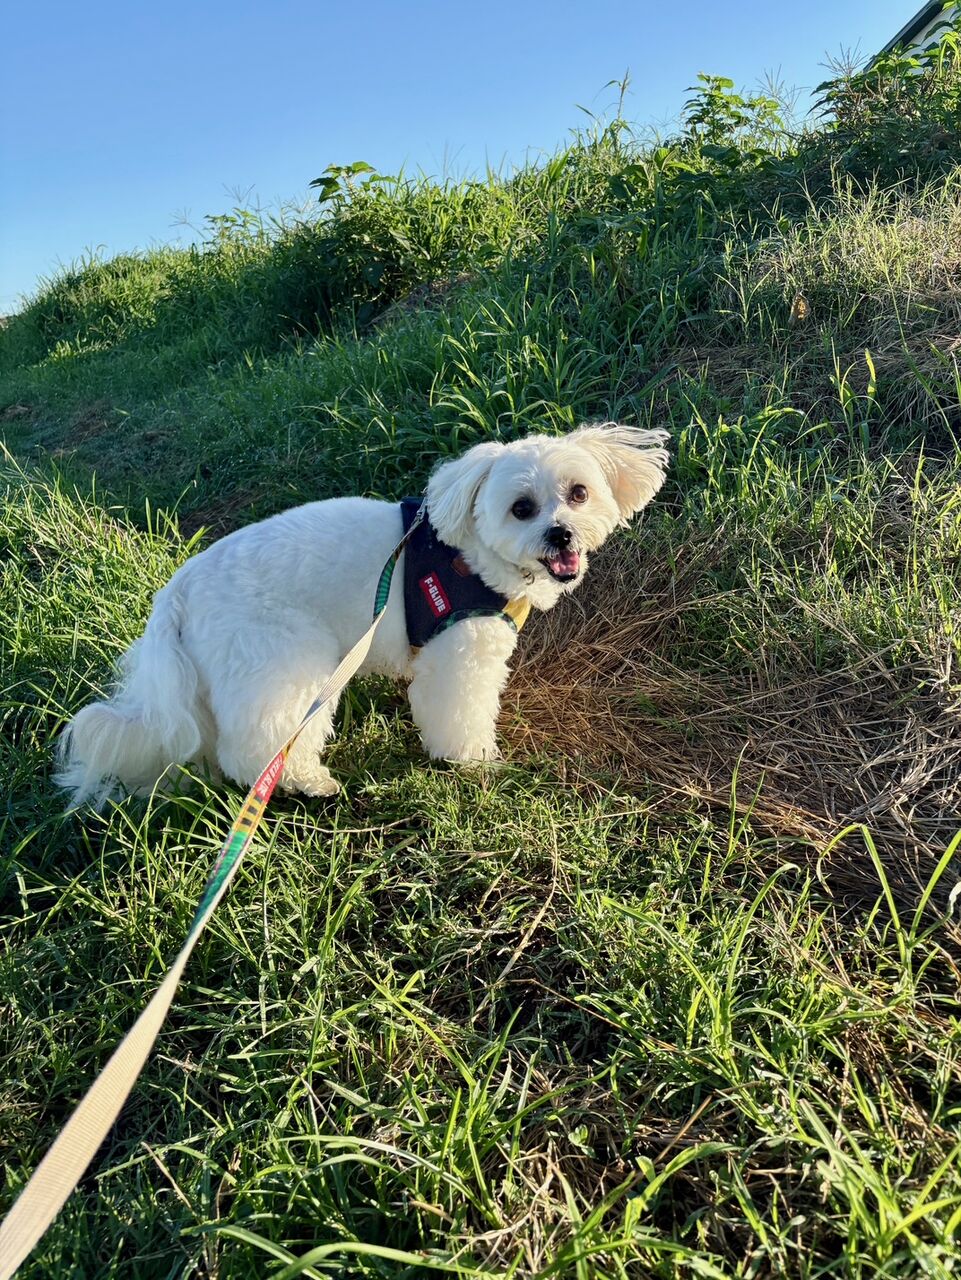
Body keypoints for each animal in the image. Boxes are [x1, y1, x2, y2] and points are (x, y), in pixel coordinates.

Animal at [56, 423, 669, 807]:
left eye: (579, 493)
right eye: (522, 509)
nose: (560, 534)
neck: (470, 556)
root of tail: (178, 589)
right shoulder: (460, 653)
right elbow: (460, 716)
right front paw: (475, 762)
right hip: (284, 660)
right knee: (257, 744)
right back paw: (307, 783)